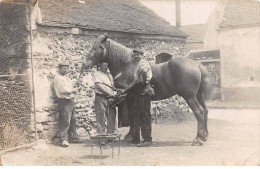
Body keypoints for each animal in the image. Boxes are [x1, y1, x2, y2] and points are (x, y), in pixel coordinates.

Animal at [83, 34, 211, 145]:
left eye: (95, 48)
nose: (85, 64)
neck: (126, 67)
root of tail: (197, 65)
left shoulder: (129, 97)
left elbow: (131, 115)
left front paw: (130, 136)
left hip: (189, 97)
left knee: (199, 112)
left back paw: (198, 139)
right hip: (198, 96)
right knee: (205, 111)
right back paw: (204, 136)